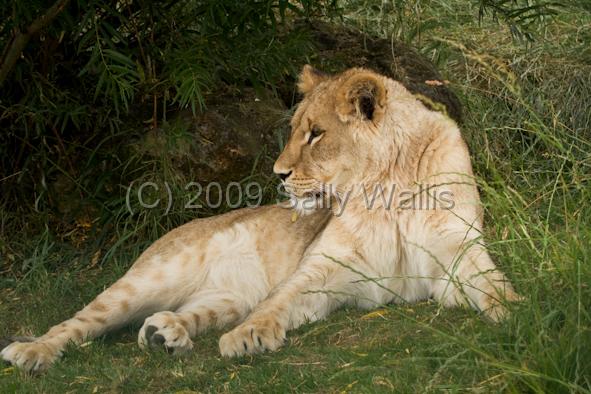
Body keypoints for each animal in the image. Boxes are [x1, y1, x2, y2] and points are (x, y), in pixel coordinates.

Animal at [0, 66, 520, 370]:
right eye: (294, 130)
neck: (385, 189)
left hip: (223, 298)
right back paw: (31, 352)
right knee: (78, 322)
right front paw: (250, 337)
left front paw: (520, 313)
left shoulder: (458, 256)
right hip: (148, 278)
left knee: (189, 313)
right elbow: (280, 301)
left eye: (316, 134)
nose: (279, 174)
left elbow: (493, 284)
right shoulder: (324, 268)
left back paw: (166, 334)